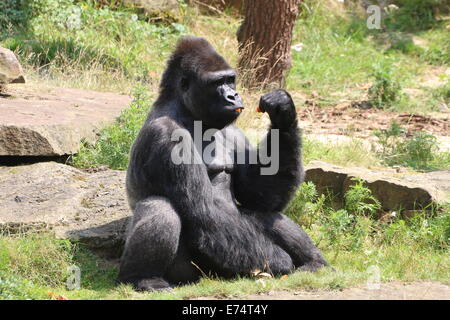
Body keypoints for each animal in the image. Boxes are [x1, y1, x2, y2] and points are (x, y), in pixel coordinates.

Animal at [117, 36, 326, 292]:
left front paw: (283, 113)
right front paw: (278, 261)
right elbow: (203, 212)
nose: (233, 96)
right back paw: (143, 277)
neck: (190, 114)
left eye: (230, 80)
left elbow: (259, 196)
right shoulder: (166, 135)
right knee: (160, 208)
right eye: (217, 82)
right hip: (194, 273)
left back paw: (314, 262)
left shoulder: (234, 131)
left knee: (263, 214)